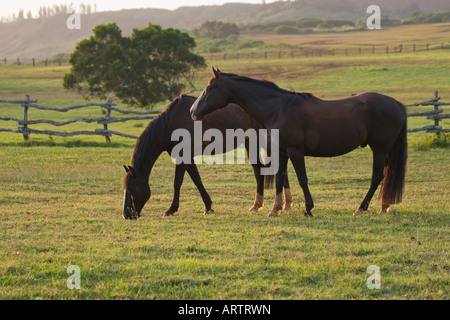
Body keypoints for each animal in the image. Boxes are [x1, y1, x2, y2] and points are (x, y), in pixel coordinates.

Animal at [122, 95, 296, 219]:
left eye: (132, 188)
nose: (126, 215)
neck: (169, 123)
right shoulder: (187, 158)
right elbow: (196, 180)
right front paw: (208, 206)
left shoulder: (182, 156)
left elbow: (178, 182)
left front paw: (171, 209)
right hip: (250, 143)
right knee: (260, 171)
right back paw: (263, 205)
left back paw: (283, 205)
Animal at [190, 67, 408, 218]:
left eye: (209, 88)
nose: (193, 111)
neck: (278, 108)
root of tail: (396, 104)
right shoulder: (281, 152)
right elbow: (280, 178)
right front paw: (275, 209)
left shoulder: (295, 151)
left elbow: (302, 179)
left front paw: (308, 209)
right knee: (385, 176)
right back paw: (384, 206)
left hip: (379, 150)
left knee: (377, 177)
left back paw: (361, 208)